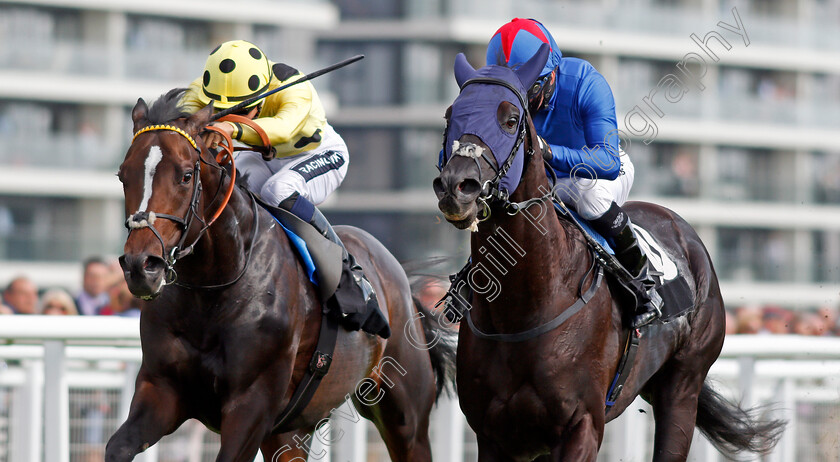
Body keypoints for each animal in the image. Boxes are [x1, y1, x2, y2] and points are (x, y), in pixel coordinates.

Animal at [107, 90, 456, 462]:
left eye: (186, 175)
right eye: (123, 175)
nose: (141, 266)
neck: (212, 289)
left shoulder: (253, 403)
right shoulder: (162, 390)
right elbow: (118, 447)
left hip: (405, 413)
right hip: (291, 431)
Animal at [430, 46, 784, 458]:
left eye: (511, 119)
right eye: (450, 115)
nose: (457, 186)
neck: (523, 309)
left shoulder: (582, 424)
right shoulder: (493, 435)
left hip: (683, 384)